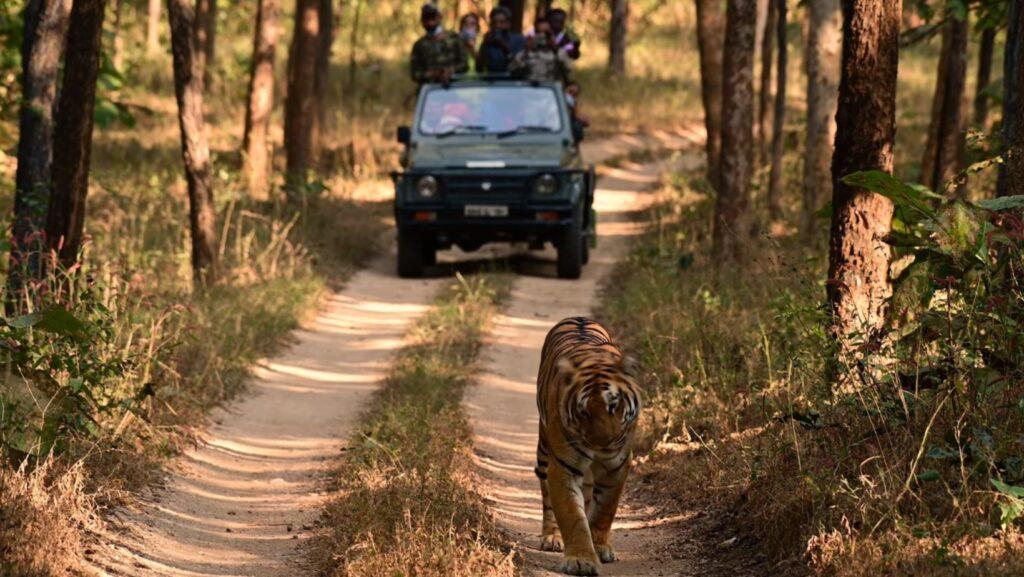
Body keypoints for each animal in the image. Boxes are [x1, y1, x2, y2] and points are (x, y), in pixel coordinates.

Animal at [534, 317, 642, 576]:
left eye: (614, 406)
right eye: (583, 411)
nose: (603, 445)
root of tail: (577, 317)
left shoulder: (618, 465)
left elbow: (605, 510)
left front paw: (600, 546)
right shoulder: (563, 466)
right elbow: (572, 515)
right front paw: (581, 560)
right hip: (544, 450)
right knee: (547, 497)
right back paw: (551, 537)